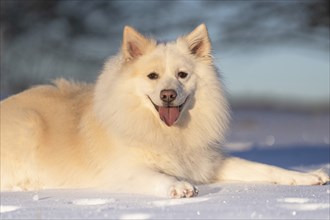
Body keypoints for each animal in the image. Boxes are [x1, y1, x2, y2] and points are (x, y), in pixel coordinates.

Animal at [1, 24, 328, 198]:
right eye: (153, 76)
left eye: (182, 75)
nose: (167, 95)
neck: (168, 133)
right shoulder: (126, 170)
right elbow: (159, 177)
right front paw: (179, 187)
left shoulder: (209, 164)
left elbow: (263, 168)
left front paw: (307, 176)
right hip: (28, 125)